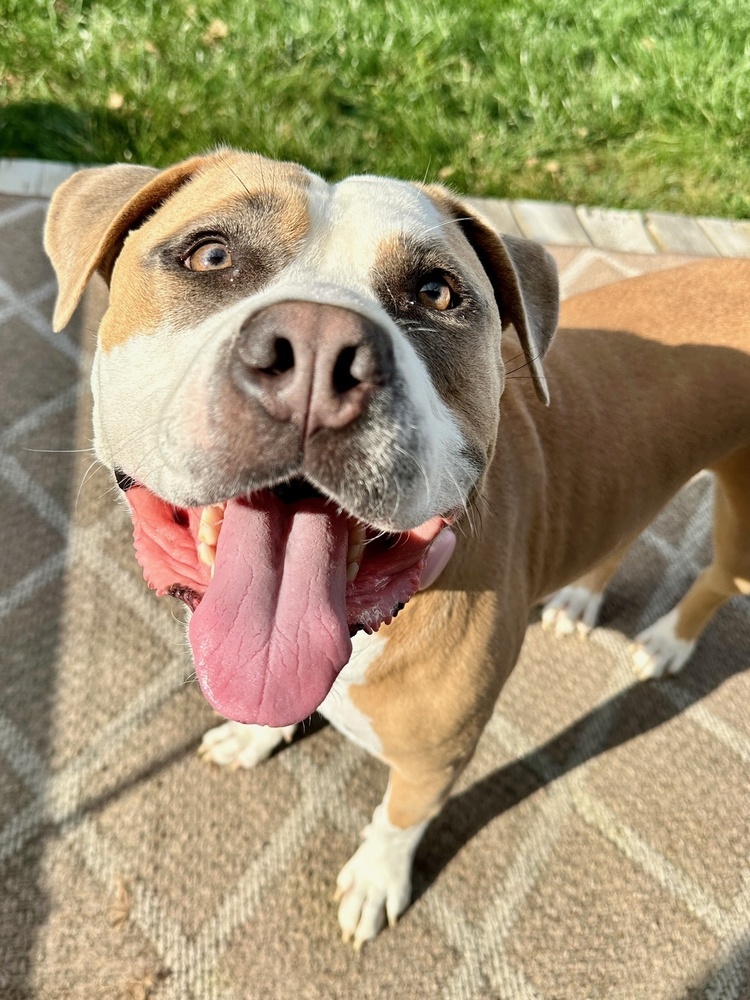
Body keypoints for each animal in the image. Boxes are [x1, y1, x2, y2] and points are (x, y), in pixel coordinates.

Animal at [44, 152, 750, 948]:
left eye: (436, 292)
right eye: (212, 255)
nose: (317, 347)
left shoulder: (437, 756)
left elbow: (399, 819)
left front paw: (376, 879)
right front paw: (256, 738)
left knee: (721, 576)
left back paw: (667, 641)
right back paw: (580, 598)